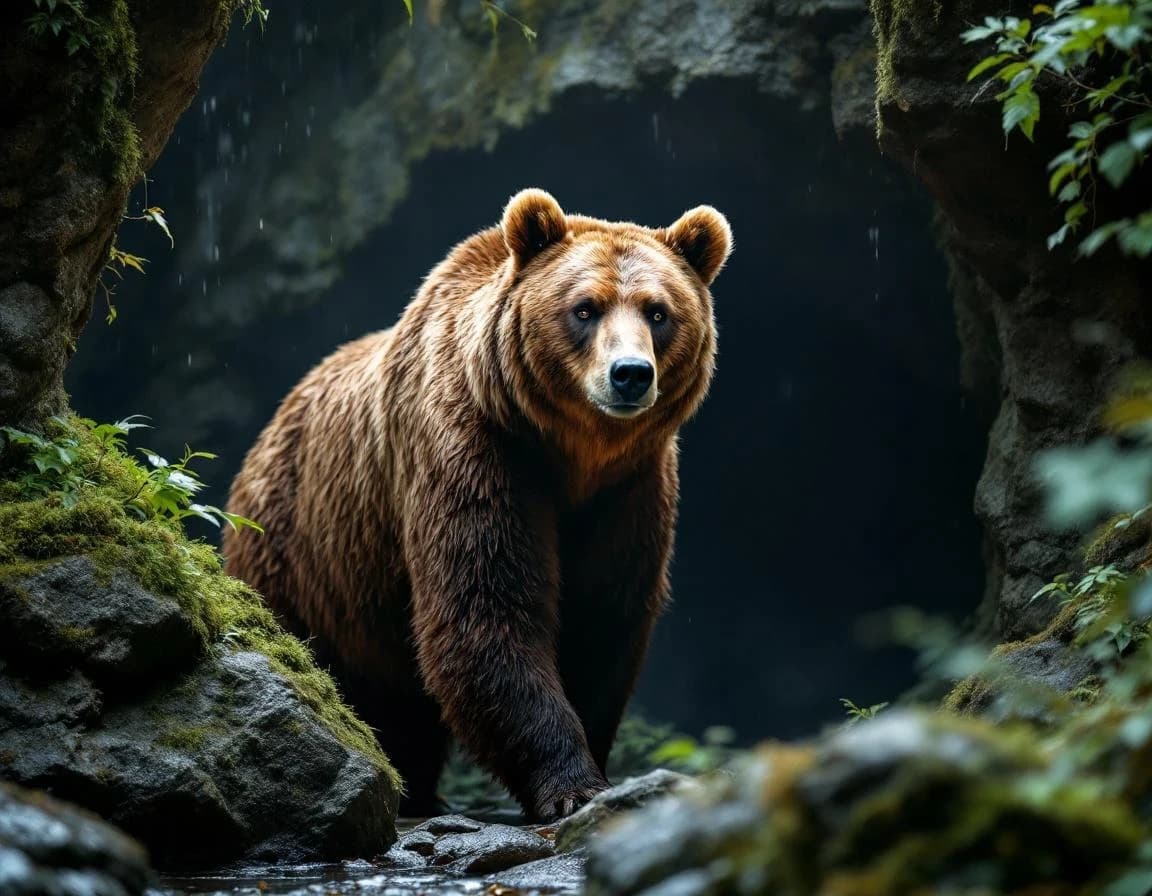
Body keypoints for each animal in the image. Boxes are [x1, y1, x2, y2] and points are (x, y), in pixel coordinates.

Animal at [222, 188, 731, 821]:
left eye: (658, 312)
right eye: (585, 308)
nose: (630, 375)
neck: (574, 454)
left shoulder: (631, 489)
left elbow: (602, 619)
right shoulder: (475, 451)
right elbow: (485, 609)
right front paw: (572, 784)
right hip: (302, 552)